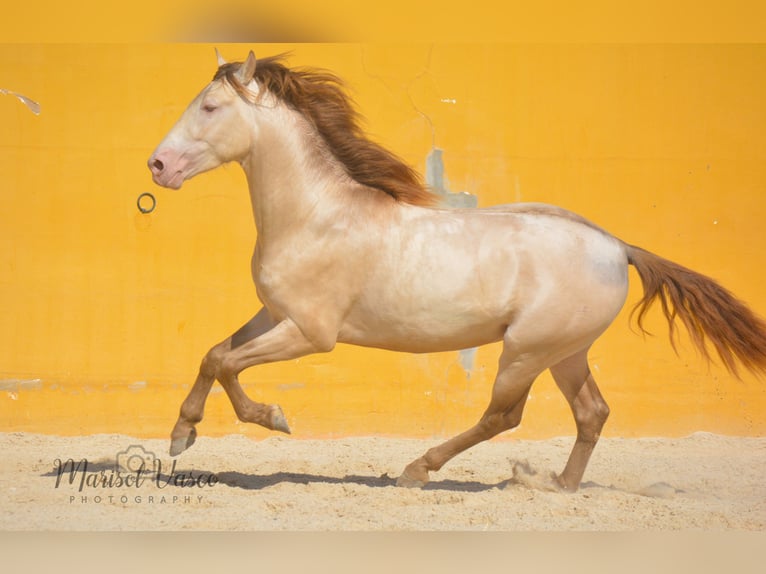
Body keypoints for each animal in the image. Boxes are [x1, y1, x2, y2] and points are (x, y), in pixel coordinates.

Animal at [148, 51, 766, 492]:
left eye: (209, 107)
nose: (157, 165)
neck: (318, 214)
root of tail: (618, 247)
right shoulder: (274, 314)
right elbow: (213, 354)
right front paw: (181, 435)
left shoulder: (310, 333)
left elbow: (229, 364)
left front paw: (271, 418)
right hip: (567, 352)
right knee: (591, 413)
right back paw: (558, 486)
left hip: (526, 351)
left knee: (504, 416)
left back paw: (418, 469)